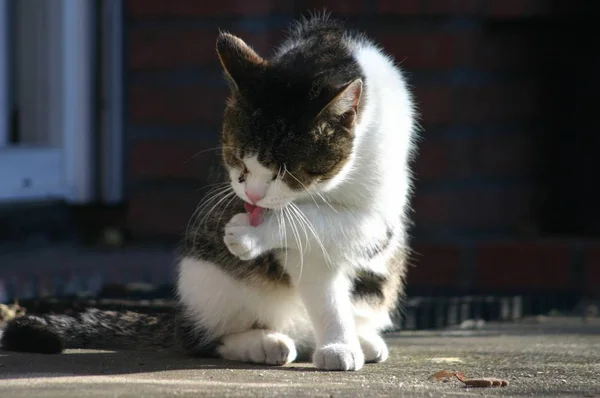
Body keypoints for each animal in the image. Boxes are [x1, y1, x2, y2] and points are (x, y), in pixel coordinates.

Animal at [1, 13, 418, 374]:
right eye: (237, 160)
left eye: (284, 172)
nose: (252, 196)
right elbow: (312, 260)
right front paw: (338, 343)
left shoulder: (383, 210)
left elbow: (334, 225)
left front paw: (338, 341)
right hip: (205, 277)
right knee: (203, 338)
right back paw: (264, 342)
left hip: (377, 286)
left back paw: (357, 338)